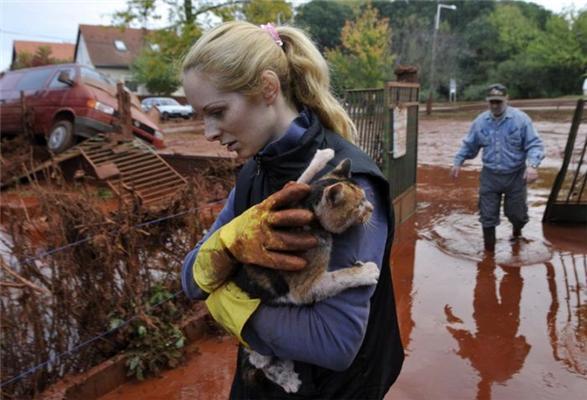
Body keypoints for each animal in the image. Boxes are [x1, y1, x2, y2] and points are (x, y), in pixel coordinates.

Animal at [234, 148, 382, 392]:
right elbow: (339, 276)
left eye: (365, 198)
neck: (307, 208)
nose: (372, 208)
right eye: (358, 205)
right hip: (257, 346)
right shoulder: (304, 288)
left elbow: (300, 180)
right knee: (261, 363)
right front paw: (366, 272)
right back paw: (288, 380)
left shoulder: (284, 202)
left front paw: (322, 156)